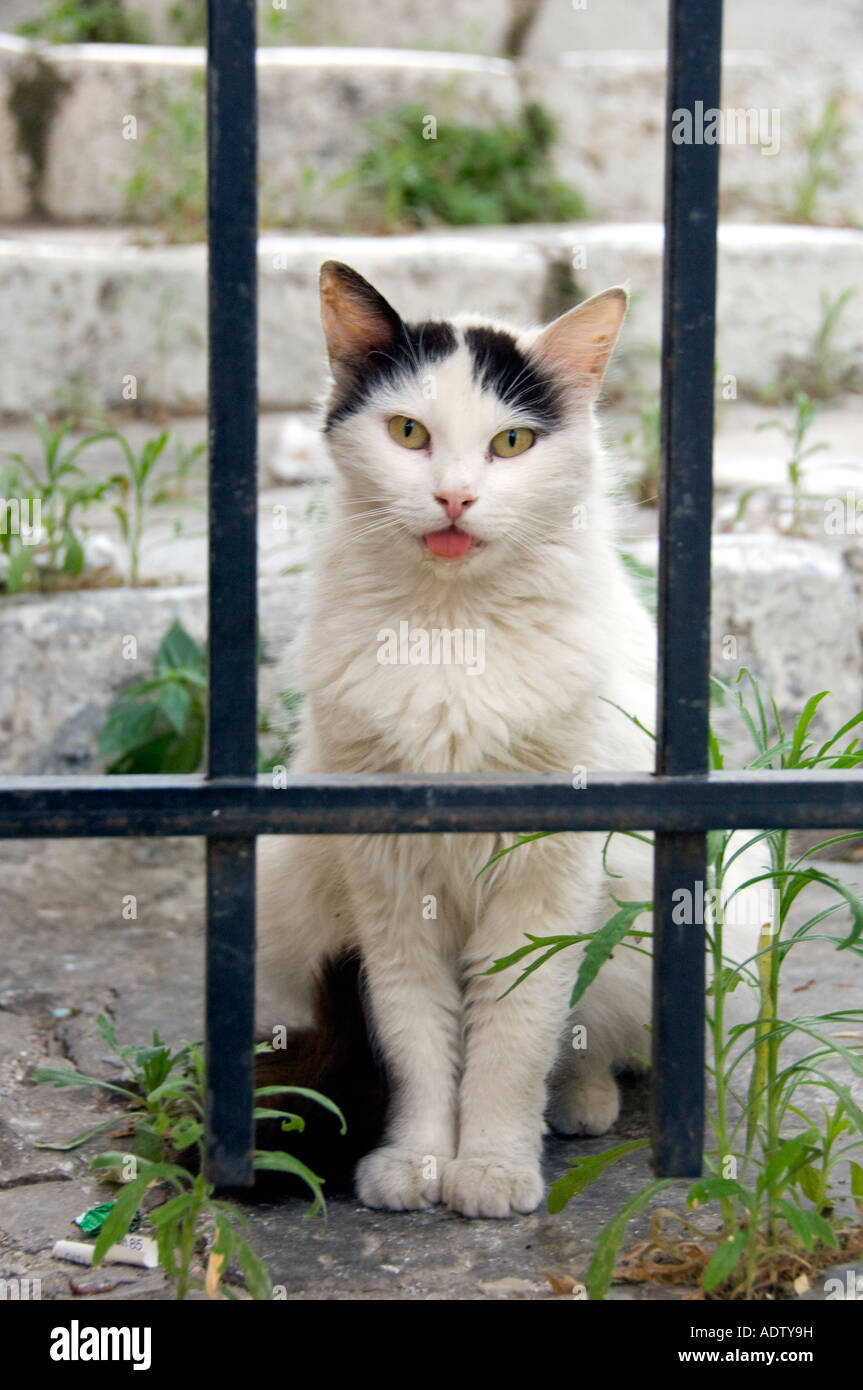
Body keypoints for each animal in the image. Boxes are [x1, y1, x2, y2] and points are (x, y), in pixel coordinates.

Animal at [255, 261, 761, 1217]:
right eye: (408, 433)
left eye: (512, 443)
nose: (455, 496)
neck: (451, 633)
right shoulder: (387, 886)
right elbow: (414, 1040)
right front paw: (417, 1162)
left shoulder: (544, 876)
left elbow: (513, 1038)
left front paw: (490, 1167)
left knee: (590, 1040)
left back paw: (580, 1104)